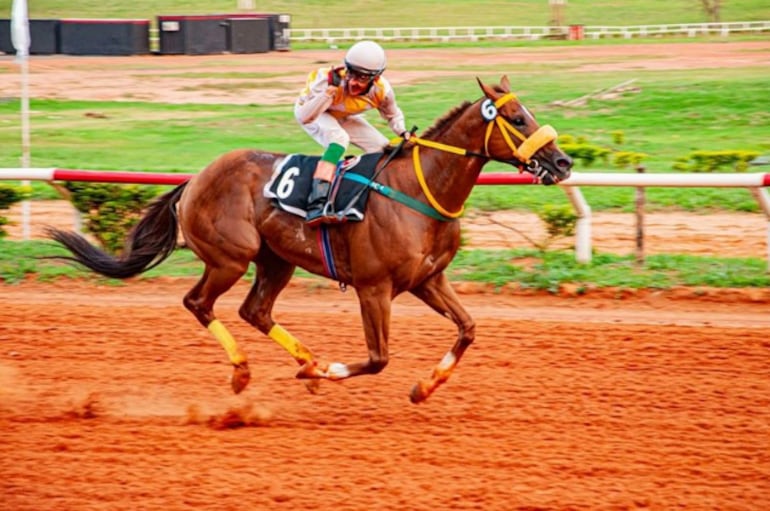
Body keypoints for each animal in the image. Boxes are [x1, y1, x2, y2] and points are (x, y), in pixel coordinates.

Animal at [46, 76, 568, 404]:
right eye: (517, 119)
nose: (562, 163)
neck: (420, 191)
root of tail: (195, 179)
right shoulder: (373, 287)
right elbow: (378, 358)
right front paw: (329, 371)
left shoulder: (428, 280)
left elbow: (469, 329)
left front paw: (423, 387)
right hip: (230, 258)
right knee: (199, 303)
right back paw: (249, 371)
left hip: (277, 260)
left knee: (254, 311)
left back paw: (308, 363)